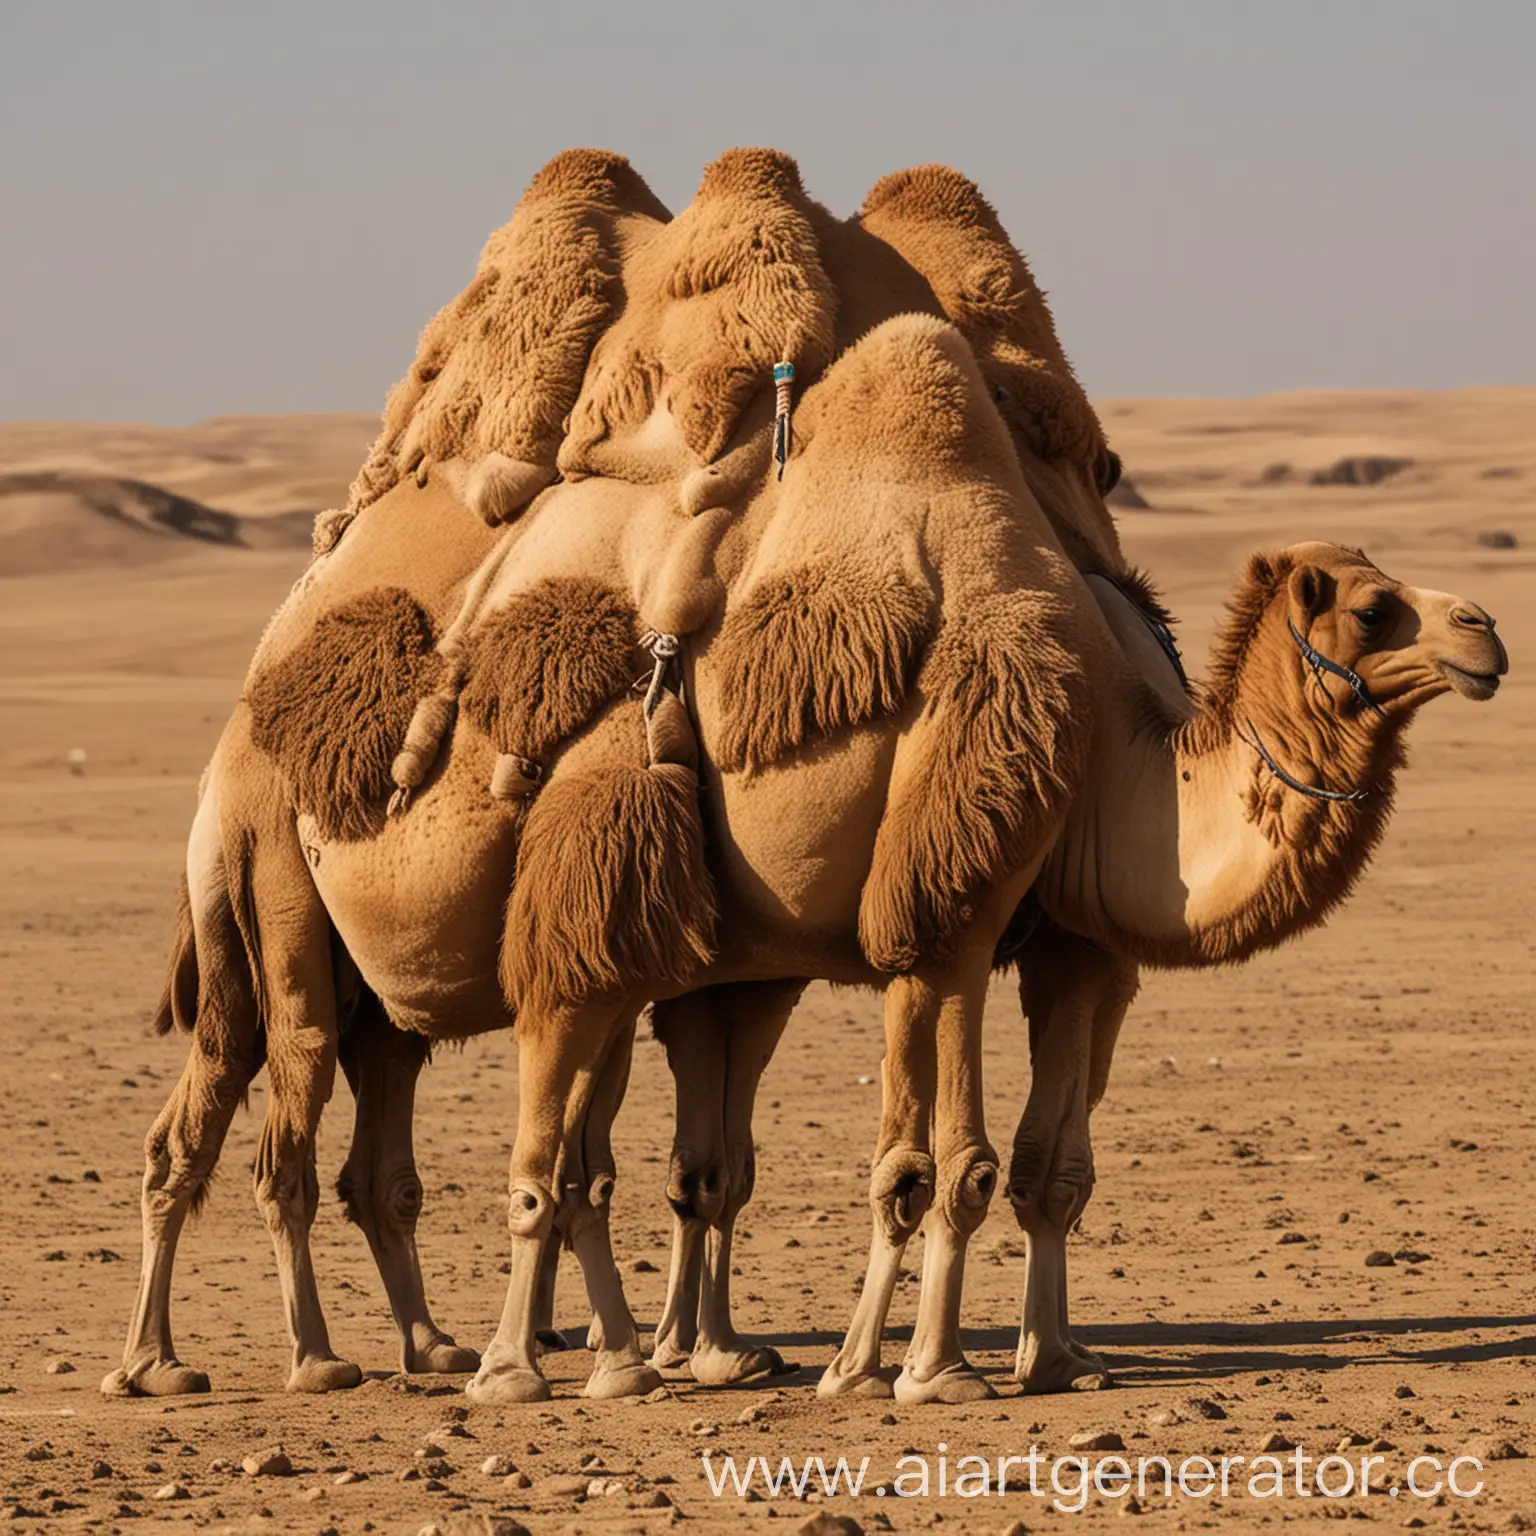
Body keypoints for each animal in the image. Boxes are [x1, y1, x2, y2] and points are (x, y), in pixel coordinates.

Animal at [102, 144, 1505, 1406]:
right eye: (1372, 606)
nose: (1486, 631)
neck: (1110, 736)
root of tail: (261, 691)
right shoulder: (939, 906)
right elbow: (936, 1165)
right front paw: (910, 1372)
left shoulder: (1078, 947)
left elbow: (1047, 1169)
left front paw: (1048, 1358)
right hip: (276, 880)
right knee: (266, 1105)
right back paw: (286, 1359)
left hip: (465, 959)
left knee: (415, 1121)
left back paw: (462, 1348)